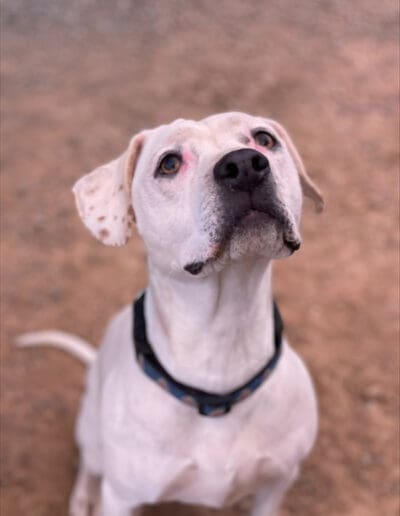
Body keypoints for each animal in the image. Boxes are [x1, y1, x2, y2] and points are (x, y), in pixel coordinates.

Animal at [18, 113, 324, 516]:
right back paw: (83, 496)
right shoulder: (120, 498)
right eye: (169, 164)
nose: (243, 165)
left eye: (264, 139)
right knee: (88, 463)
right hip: (92, 434)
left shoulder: (275, 487)